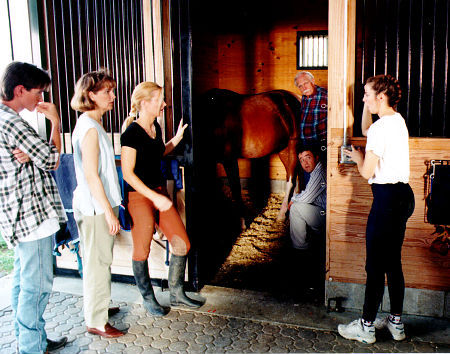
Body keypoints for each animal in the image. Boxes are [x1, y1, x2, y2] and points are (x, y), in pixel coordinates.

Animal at [198, 88, 300, 224]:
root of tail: (295, 97)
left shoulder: (229, 159)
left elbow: (236, 189)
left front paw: (241, 222)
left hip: (293, 146)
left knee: (291, 179)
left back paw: (281, 215)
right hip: (283, 150)